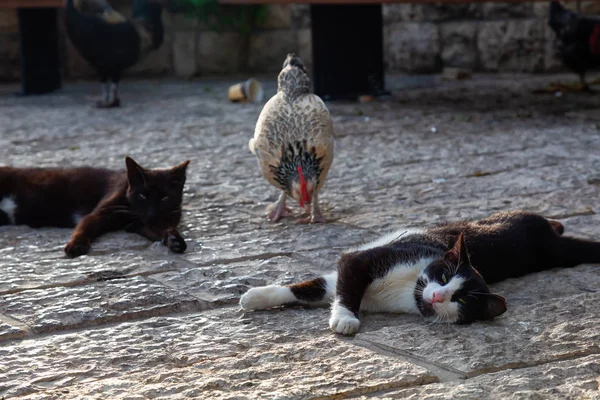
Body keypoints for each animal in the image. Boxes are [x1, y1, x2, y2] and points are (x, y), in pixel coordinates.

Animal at [0, 156, 190, 256]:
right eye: (142, 195)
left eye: (164, 198)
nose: (151, 213)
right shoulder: (99, 214)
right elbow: (85, 227)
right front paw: (75, 246)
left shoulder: (140, 224)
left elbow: (159, 230)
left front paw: (173, 239)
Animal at [239, 211, 600, 336]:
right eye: (443, 276)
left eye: (462, 300)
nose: (439, 295)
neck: (408, 289)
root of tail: (547, 239)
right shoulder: (363, 261)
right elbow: (324, 284)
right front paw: (256, 296)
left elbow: (332, 289)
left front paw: (344, 317)